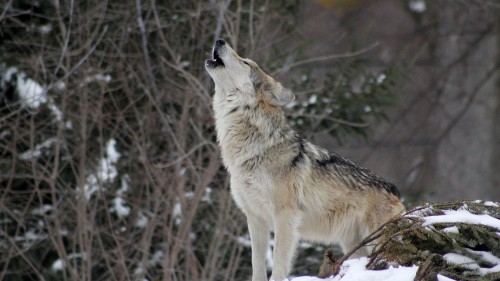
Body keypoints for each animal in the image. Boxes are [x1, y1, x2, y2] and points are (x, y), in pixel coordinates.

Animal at [205, 38, 404, 280]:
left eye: (245, 62)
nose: (220, 40)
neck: (253, 150)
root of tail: (394, 190)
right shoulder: (255, 218)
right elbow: (257, 266)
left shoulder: (285, 216)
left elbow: (279, 264)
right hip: (354, 246)